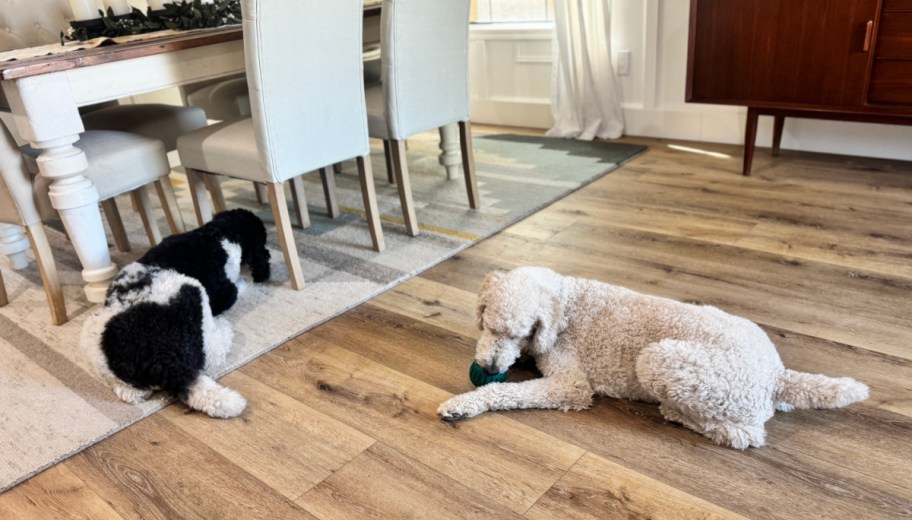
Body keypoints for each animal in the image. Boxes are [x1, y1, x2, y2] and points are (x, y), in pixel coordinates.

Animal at [81, 209, 270, 416]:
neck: (218, 233)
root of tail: (157, 357)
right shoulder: (226, 291)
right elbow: (237, 288)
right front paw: (246, 282)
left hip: (94, 340)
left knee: (127, 391)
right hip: (192, 289)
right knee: (212, 353)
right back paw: (223, 329)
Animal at [438, 266, 872, 448]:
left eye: (520, 330)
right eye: (489, 326)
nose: (490, 367)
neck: (566, 301)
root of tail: (778, 376)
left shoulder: (571, 385)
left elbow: (508, 393)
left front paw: (463, 403)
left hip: (657, 358)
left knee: (743, 435)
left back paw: (678, 413)